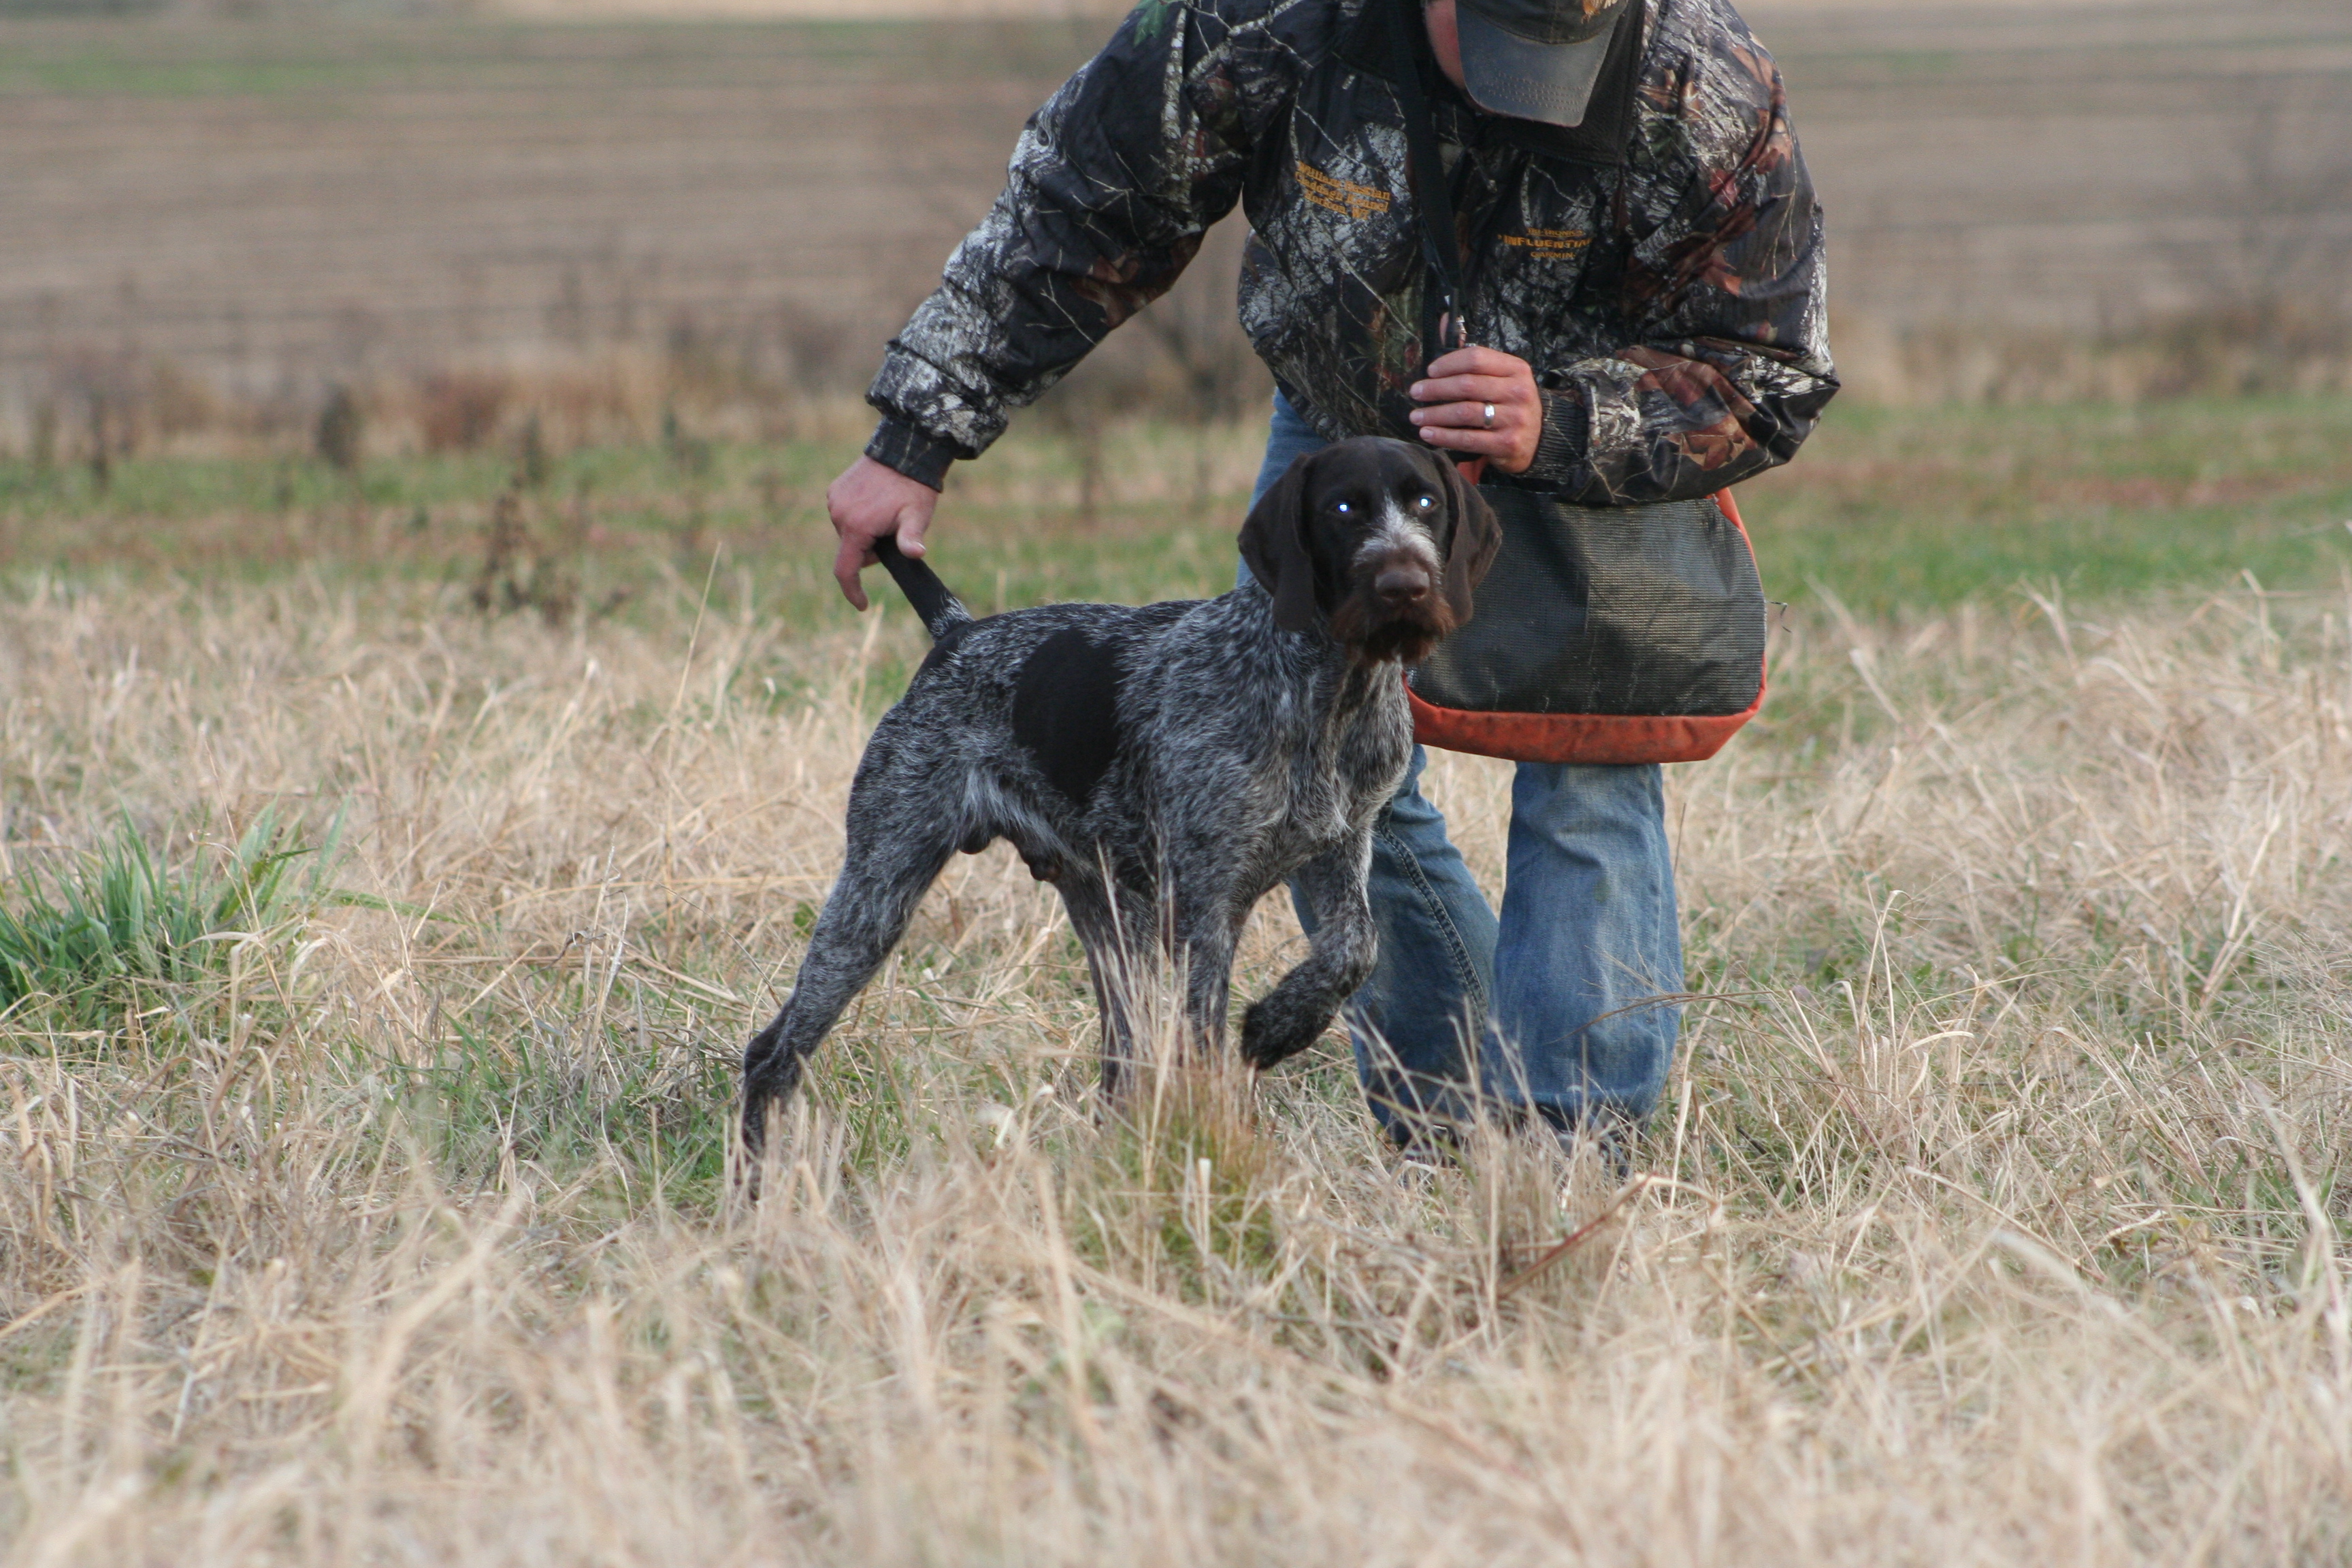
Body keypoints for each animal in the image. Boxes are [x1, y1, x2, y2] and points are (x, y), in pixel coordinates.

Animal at [740, 436, 1500, 1156]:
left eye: (1427, 503)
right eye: (1343, 509)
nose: (1406, 583)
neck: (1332, 692)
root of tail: (958, 633)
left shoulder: (1341, 849)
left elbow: (1355, 950)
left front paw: (1281, 1025)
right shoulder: (1203, 904)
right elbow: (1203, 1036)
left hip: (1109, 917)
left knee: (1122, 1063)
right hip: (880, 888)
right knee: (772, 1053)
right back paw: (757, 1185)